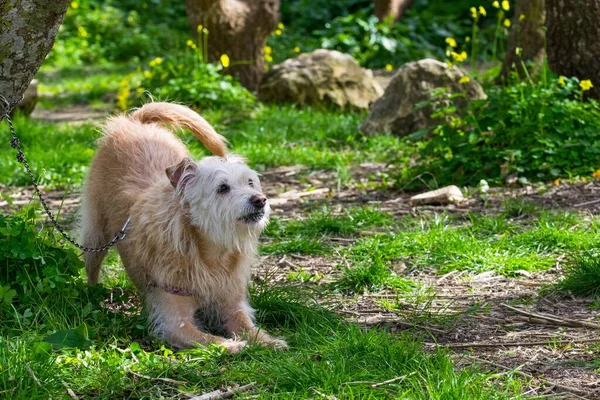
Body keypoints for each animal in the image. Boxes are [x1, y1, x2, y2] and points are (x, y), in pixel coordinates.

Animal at [80, 101, 286, 352]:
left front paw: (269, 341)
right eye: (222, 188)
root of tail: (133, 122)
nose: (260, 200)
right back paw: (93, 295)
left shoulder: (233, 303)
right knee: (92, 265)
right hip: (95, 233)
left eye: (250, 183)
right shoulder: (174, 321)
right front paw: (233, 346)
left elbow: (248, 326)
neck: (212, 254)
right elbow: (208, 340)